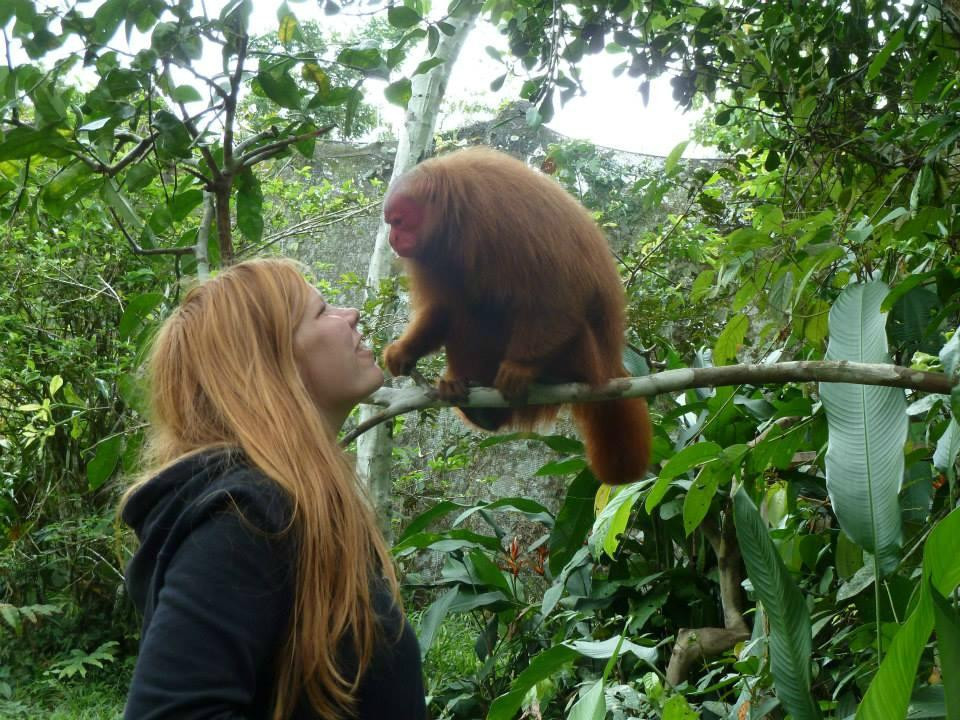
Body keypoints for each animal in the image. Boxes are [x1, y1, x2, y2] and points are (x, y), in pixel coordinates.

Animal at [382, 146, 652, 484]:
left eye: (399, 221)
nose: (392, 239)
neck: (455, 217)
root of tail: (608, 365)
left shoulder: (501, 215)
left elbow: (558, 292)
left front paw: (521, 366)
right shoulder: (437, 254)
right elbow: (443, 309)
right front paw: (405, 350)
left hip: (585, 356)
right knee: (468, 310)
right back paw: (476, 404)